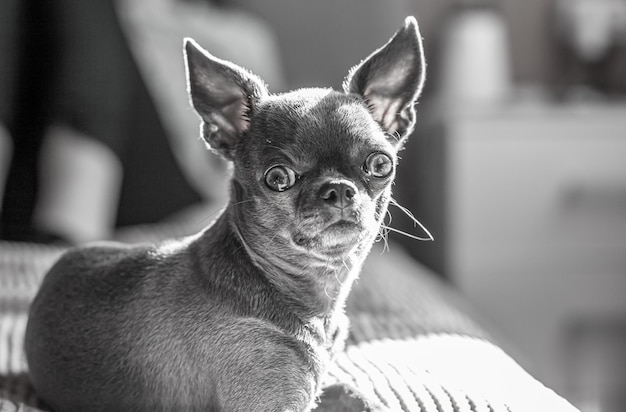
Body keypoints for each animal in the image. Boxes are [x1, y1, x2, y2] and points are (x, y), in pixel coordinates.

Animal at [24, 16, 424, 412]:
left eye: (380, 164)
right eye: (278, 178)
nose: (338, 189)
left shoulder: (320, 387)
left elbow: (355, 394)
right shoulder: (273, 403)